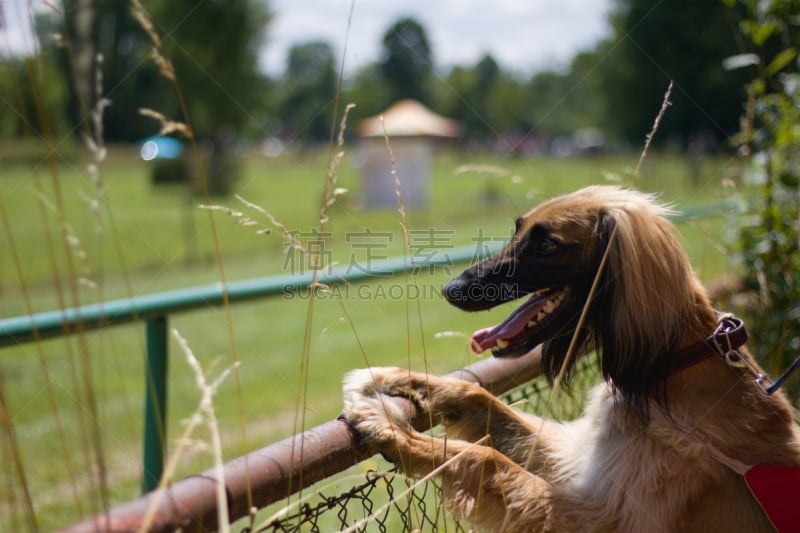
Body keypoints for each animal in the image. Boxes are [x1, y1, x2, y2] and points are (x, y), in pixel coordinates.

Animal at [340, 185, 800, 528]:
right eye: (519, 230)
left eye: (546, 244)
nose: (451, 289)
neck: (671, 366)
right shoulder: (579, 458)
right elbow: (479, 398)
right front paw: (392, 380)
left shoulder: (610, 518)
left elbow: (483, 456)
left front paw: (388, 427)